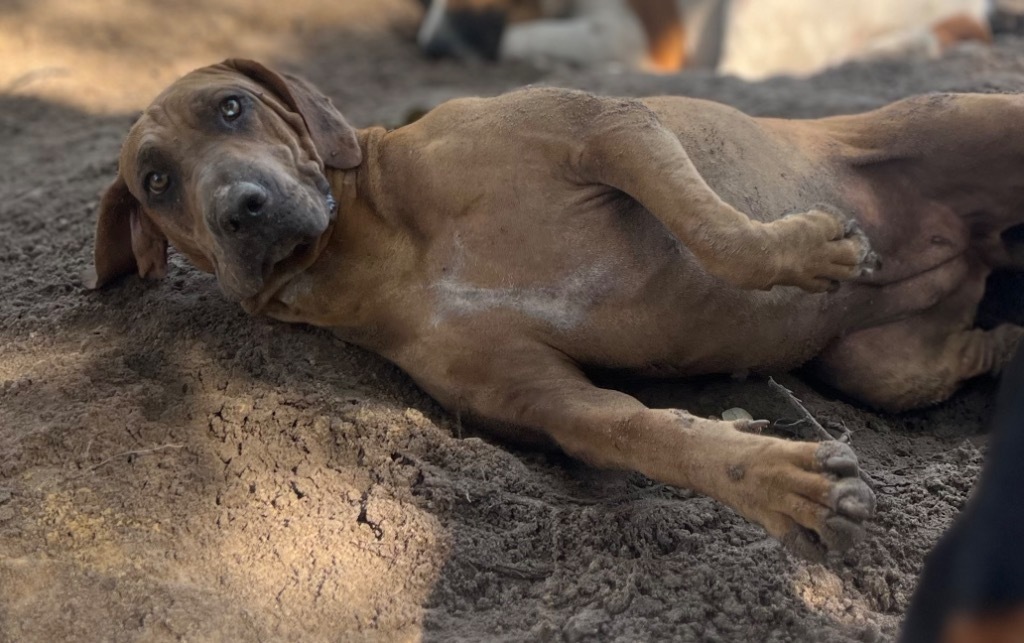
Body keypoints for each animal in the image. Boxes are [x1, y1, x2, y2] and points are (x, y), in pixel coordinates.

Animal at [86, 59, 1024, 556]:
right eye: (157, 180)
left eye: (232, 106)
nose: (238, 210)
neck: (384, 251)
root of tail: (974, 243)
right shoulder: (549, 400)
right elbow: (643, 432)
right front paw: (778, 480)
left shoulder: (606, 127)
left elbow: (714, 228)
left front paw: (807, 248)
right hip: (880, 368)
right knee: (963, 351)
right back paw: (1008, 338)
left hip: (987, 123)